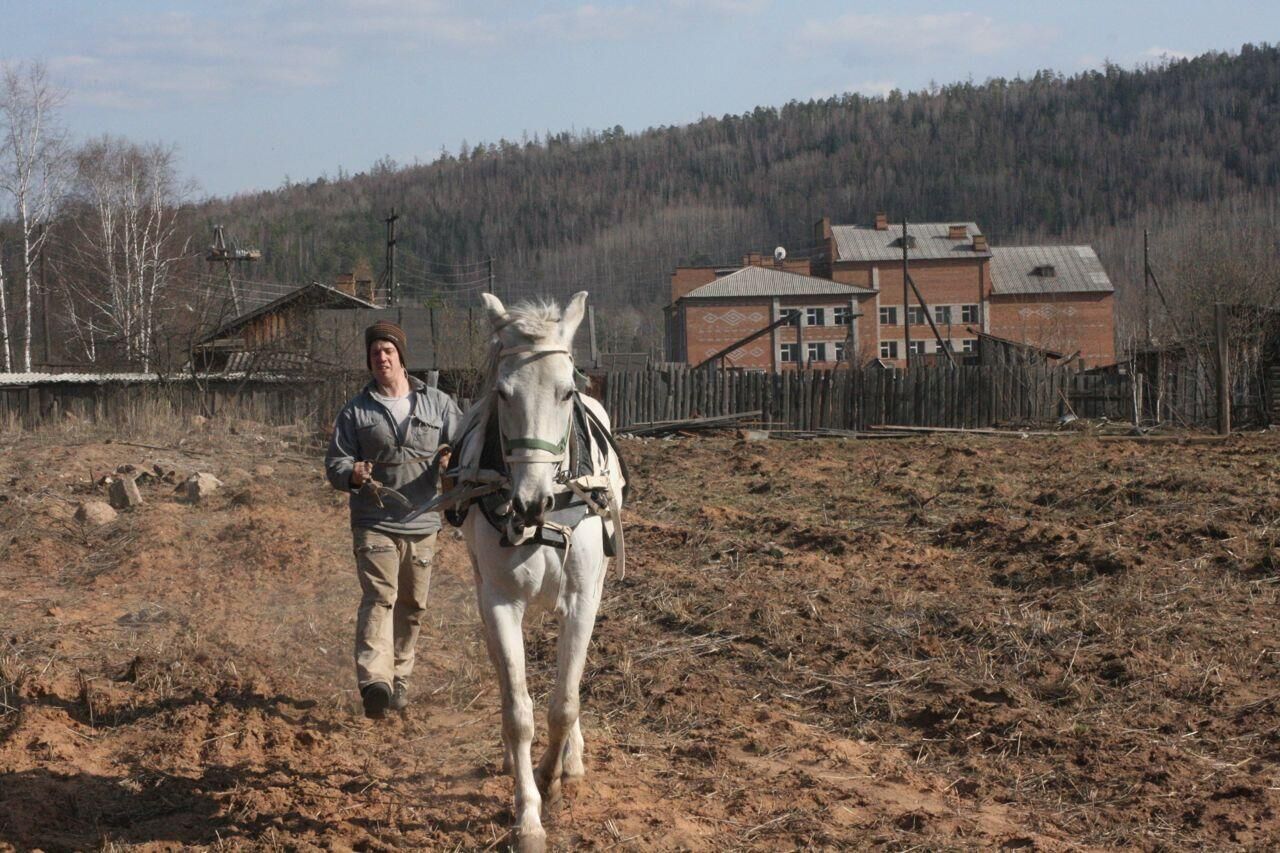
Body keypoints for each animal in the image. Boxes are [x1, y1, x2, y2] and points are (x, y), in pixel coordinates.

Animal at [460, 292, 624, 850]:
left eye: (566, 391)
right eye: (502, 392)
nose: (531, 503)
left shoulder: (582, 598)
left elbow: (563, 703)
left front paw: (553, 776)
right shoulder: (498, 600)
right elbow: (519, 711)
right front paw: (527, 813)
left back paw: (571, 757)